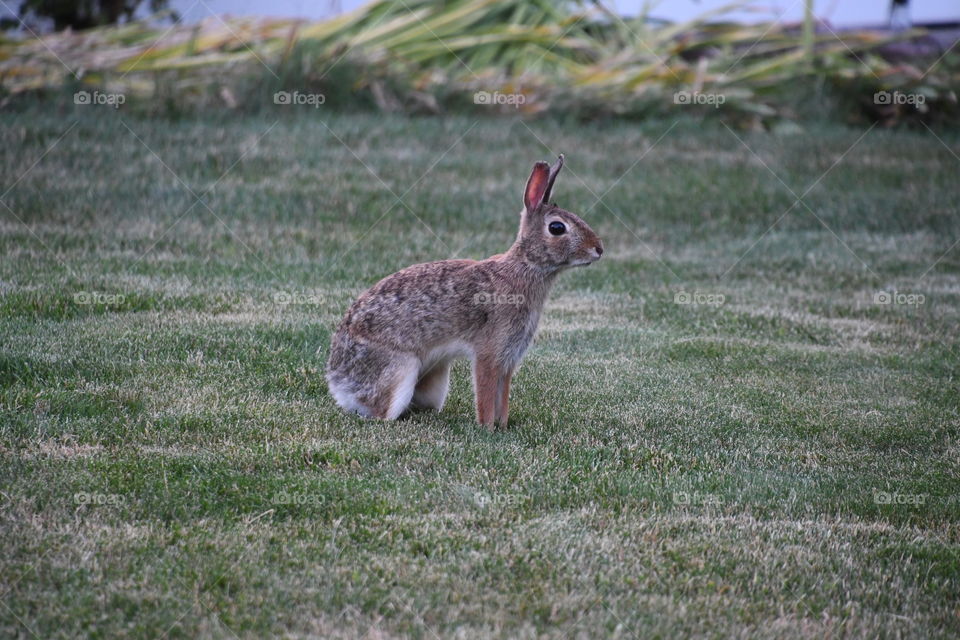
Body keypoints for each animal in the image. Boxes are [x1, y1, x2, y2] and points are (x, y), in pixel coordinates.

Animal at [326, 152, 604, 428]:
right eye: (557, 228)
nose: (598, 249)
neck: (526, 266)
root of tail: (338, 382)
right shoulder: (489, 354)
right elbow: (486, 392)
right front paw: (488, 427)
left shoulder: (508, 359)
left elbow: (503, 394)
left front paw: (502, 425)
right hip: (400, 371)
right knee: (383, 411)